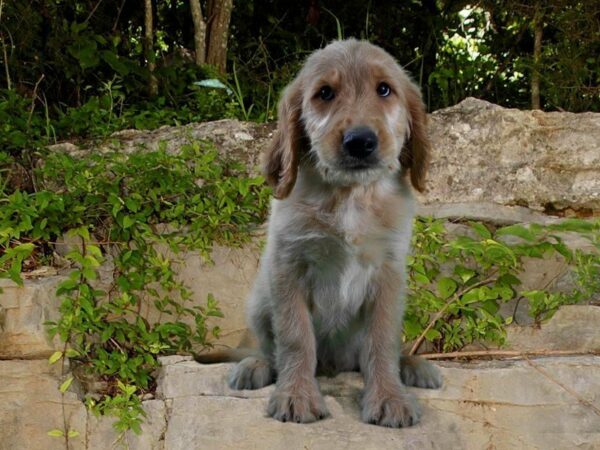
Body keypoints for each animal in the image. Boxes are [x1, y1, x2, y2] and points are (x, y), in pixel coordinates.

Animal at [226, 37, 440, 426]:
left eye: (384, 89)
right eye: (325, 93)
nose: (360, 141)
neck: (350, 196)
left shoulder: (388, 274)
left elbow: (382, 341)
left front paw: (389, 396)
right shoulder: (288, 265)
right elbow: (295, 337)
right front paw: (296, 395)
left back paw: (414, 367)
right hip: (259, 302)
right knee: (270, 348)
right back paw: (256, 366)